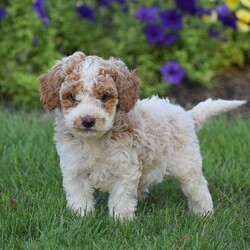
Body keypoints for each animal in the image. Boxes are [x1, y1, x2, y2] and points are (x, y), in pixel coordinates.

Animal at [39, 51, 246, 220]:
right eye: (72, 97)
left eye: (104, 97)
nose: (88, 120)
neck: (95, 142)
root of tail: (186, 114)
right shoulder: (74, 168)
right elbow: (79, 195)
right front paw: (81, 217)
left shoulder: (125, 168)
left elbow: (121, 197)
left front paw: (121, 221)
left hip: (186, 164)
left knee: (198, 188)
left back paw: (204, 214)